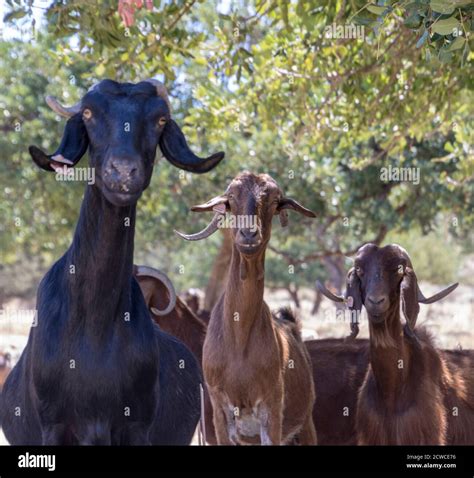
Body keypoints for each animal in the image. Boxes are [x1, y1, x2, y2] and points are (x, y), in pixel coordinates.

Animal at [0, 79, 224, 444]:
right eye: (90, 114)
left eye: (160, 120)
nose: (122, 172)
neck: (95, 327)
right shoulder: (54, 426)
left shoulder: (136, 426)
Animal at [176, 172, 316, 444]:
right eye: (231, 198)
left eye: (274, 201)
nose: (249, 235)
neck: (239, 341)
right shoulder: (220, 411)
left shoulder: (271, 408)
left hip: (305, 423)